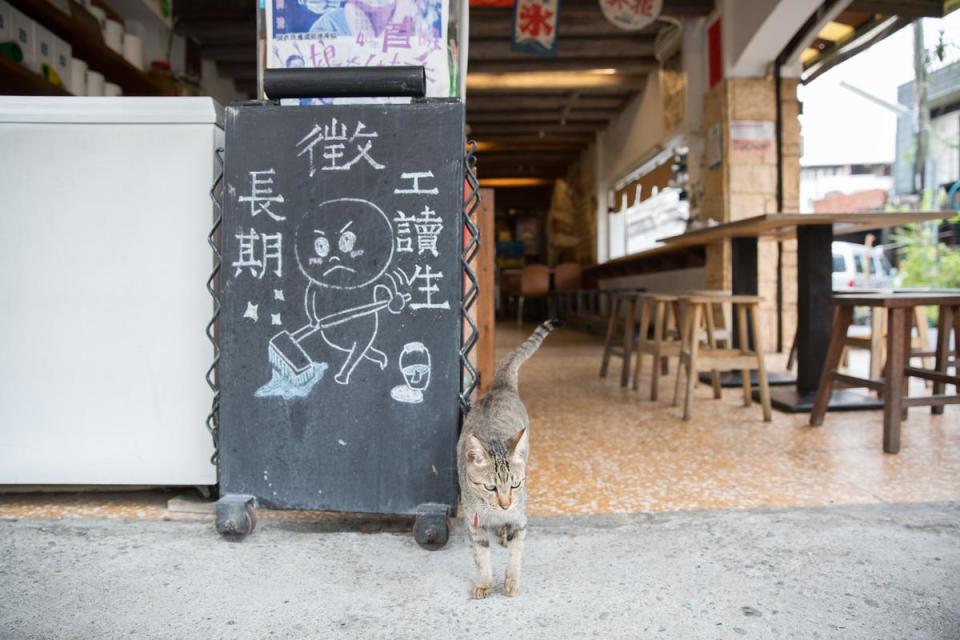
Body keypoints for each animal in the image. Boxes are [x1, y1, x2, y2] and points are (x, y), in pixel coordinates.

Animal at [456, 322, 556, 596]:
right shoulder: (474, 523)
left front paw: (511, 582)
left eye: (515, 484)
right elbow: (481, 557)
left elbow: (515, 554)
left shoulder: (519, 520)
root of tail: (500, 387)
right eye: (490, 487)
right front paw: (484, 583)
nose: (505, 504)